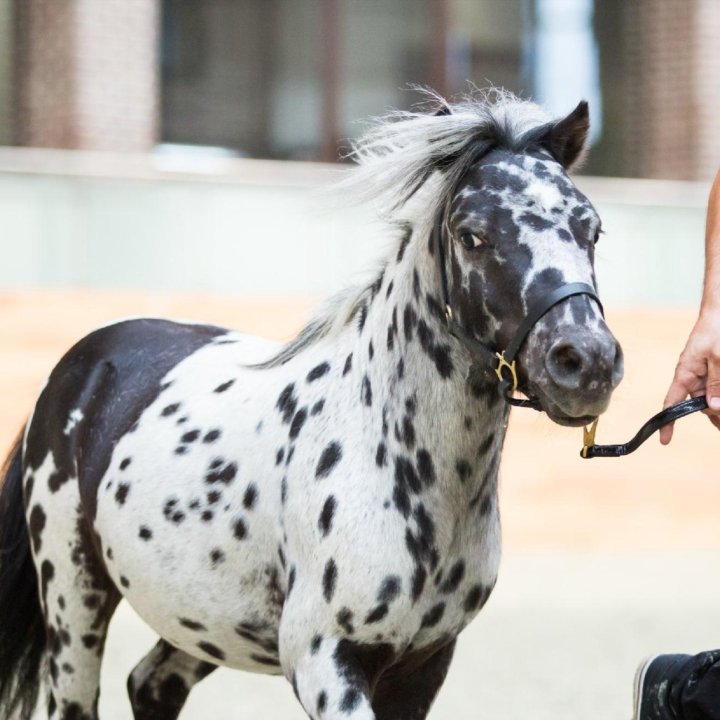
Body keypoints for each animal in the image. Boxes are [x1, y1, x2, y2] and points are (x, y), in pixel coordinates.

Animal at [0, 91, 620, 720]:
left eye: (591, 229)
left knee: (151, 684)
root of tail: (80, 364)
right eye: (472, 235)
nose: (585, 361)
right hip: (73, 598)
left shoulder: (423, 667)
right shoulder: (324, 659)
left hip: (204, 618)